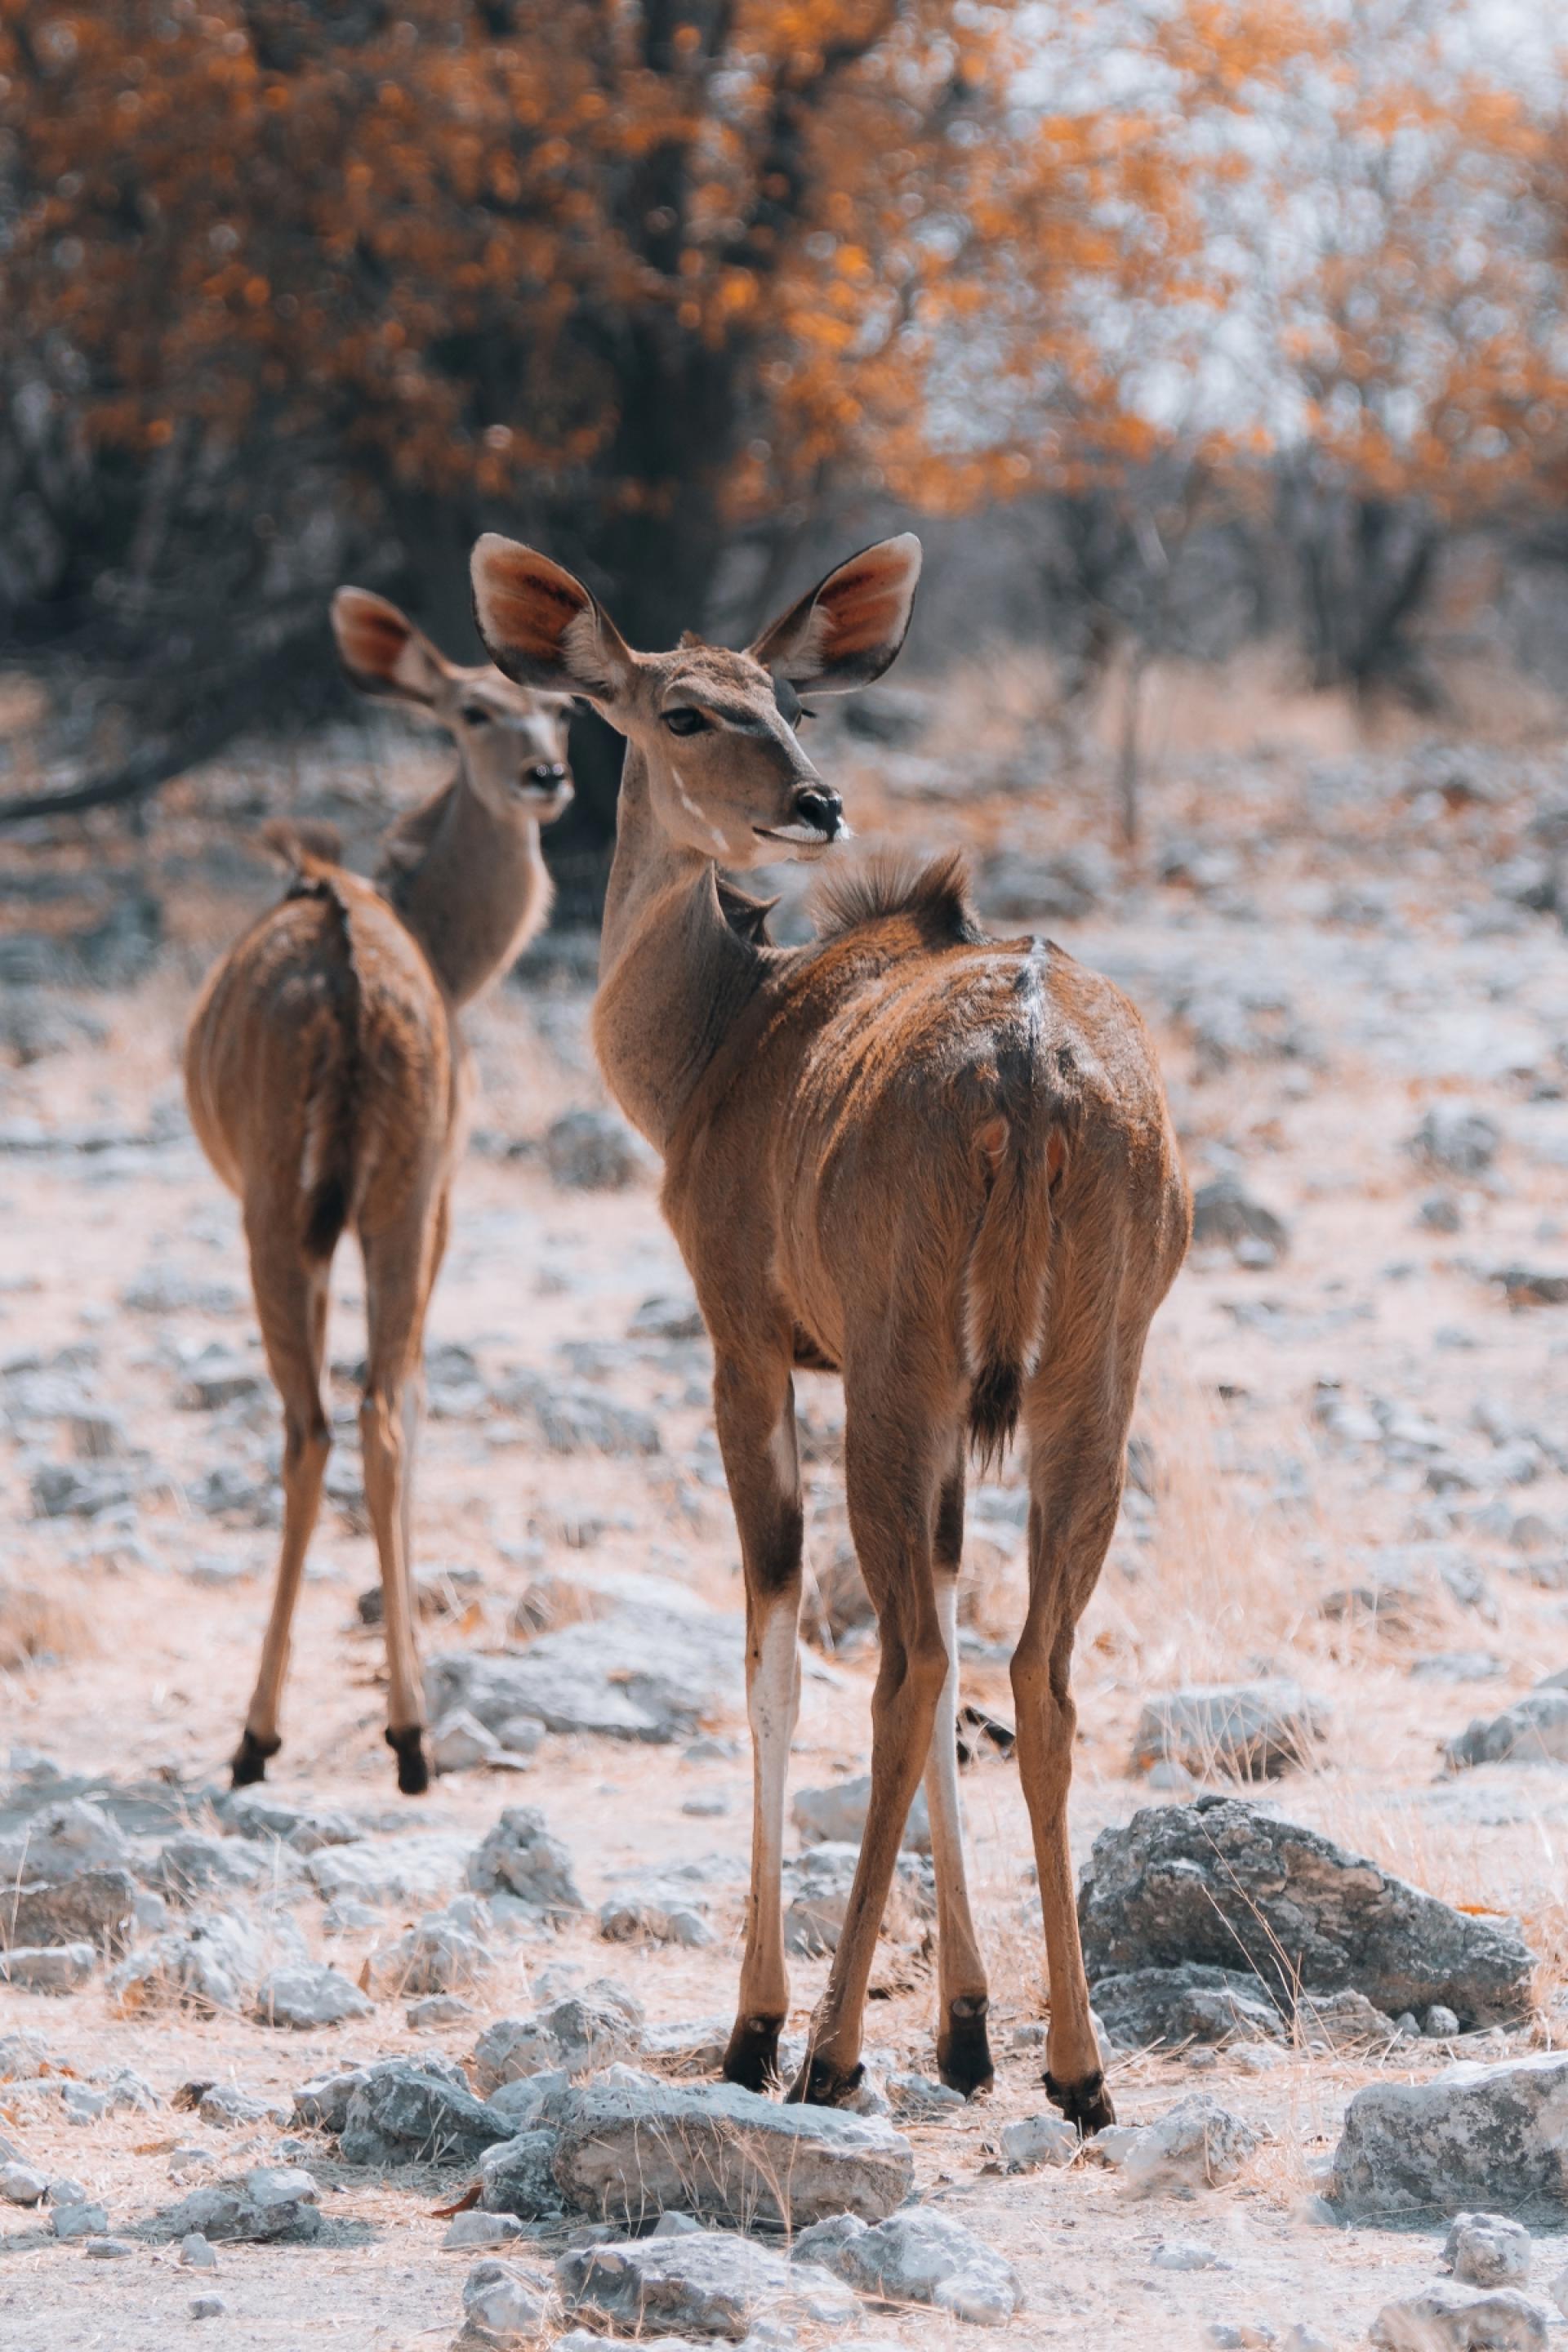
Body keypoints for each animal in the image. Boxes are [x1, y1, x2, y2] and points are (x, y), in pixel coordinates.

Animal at [184, 592, 573, 1797]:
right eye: (474, 709)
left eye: (564, 713)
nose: (546, 776)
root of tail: (352, 990)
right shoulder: (435, 1199)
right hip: (383, 1214)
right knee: (374, 1413)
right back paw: (398, 1737)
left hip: (287, 1224)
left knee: (322, 1422)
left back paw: (271, 1737)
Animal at [472, 533, 1194, 2136]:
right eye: (688, 709)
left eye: (789, 704)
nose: (815, 802)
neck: (732, 1035)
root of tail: (1032, 1066)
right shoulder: (958, 1424)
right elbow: (957, 1633)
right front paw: (971, 2028)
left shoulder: (748, 1350)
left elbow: (774, 1653)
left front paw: (757, 2024)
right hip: (1083, 1397)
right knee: (1034, 1672)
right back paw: (1076, 2069)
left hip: (896, 1385)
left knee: (907, 1669)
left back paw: (825, 2055)